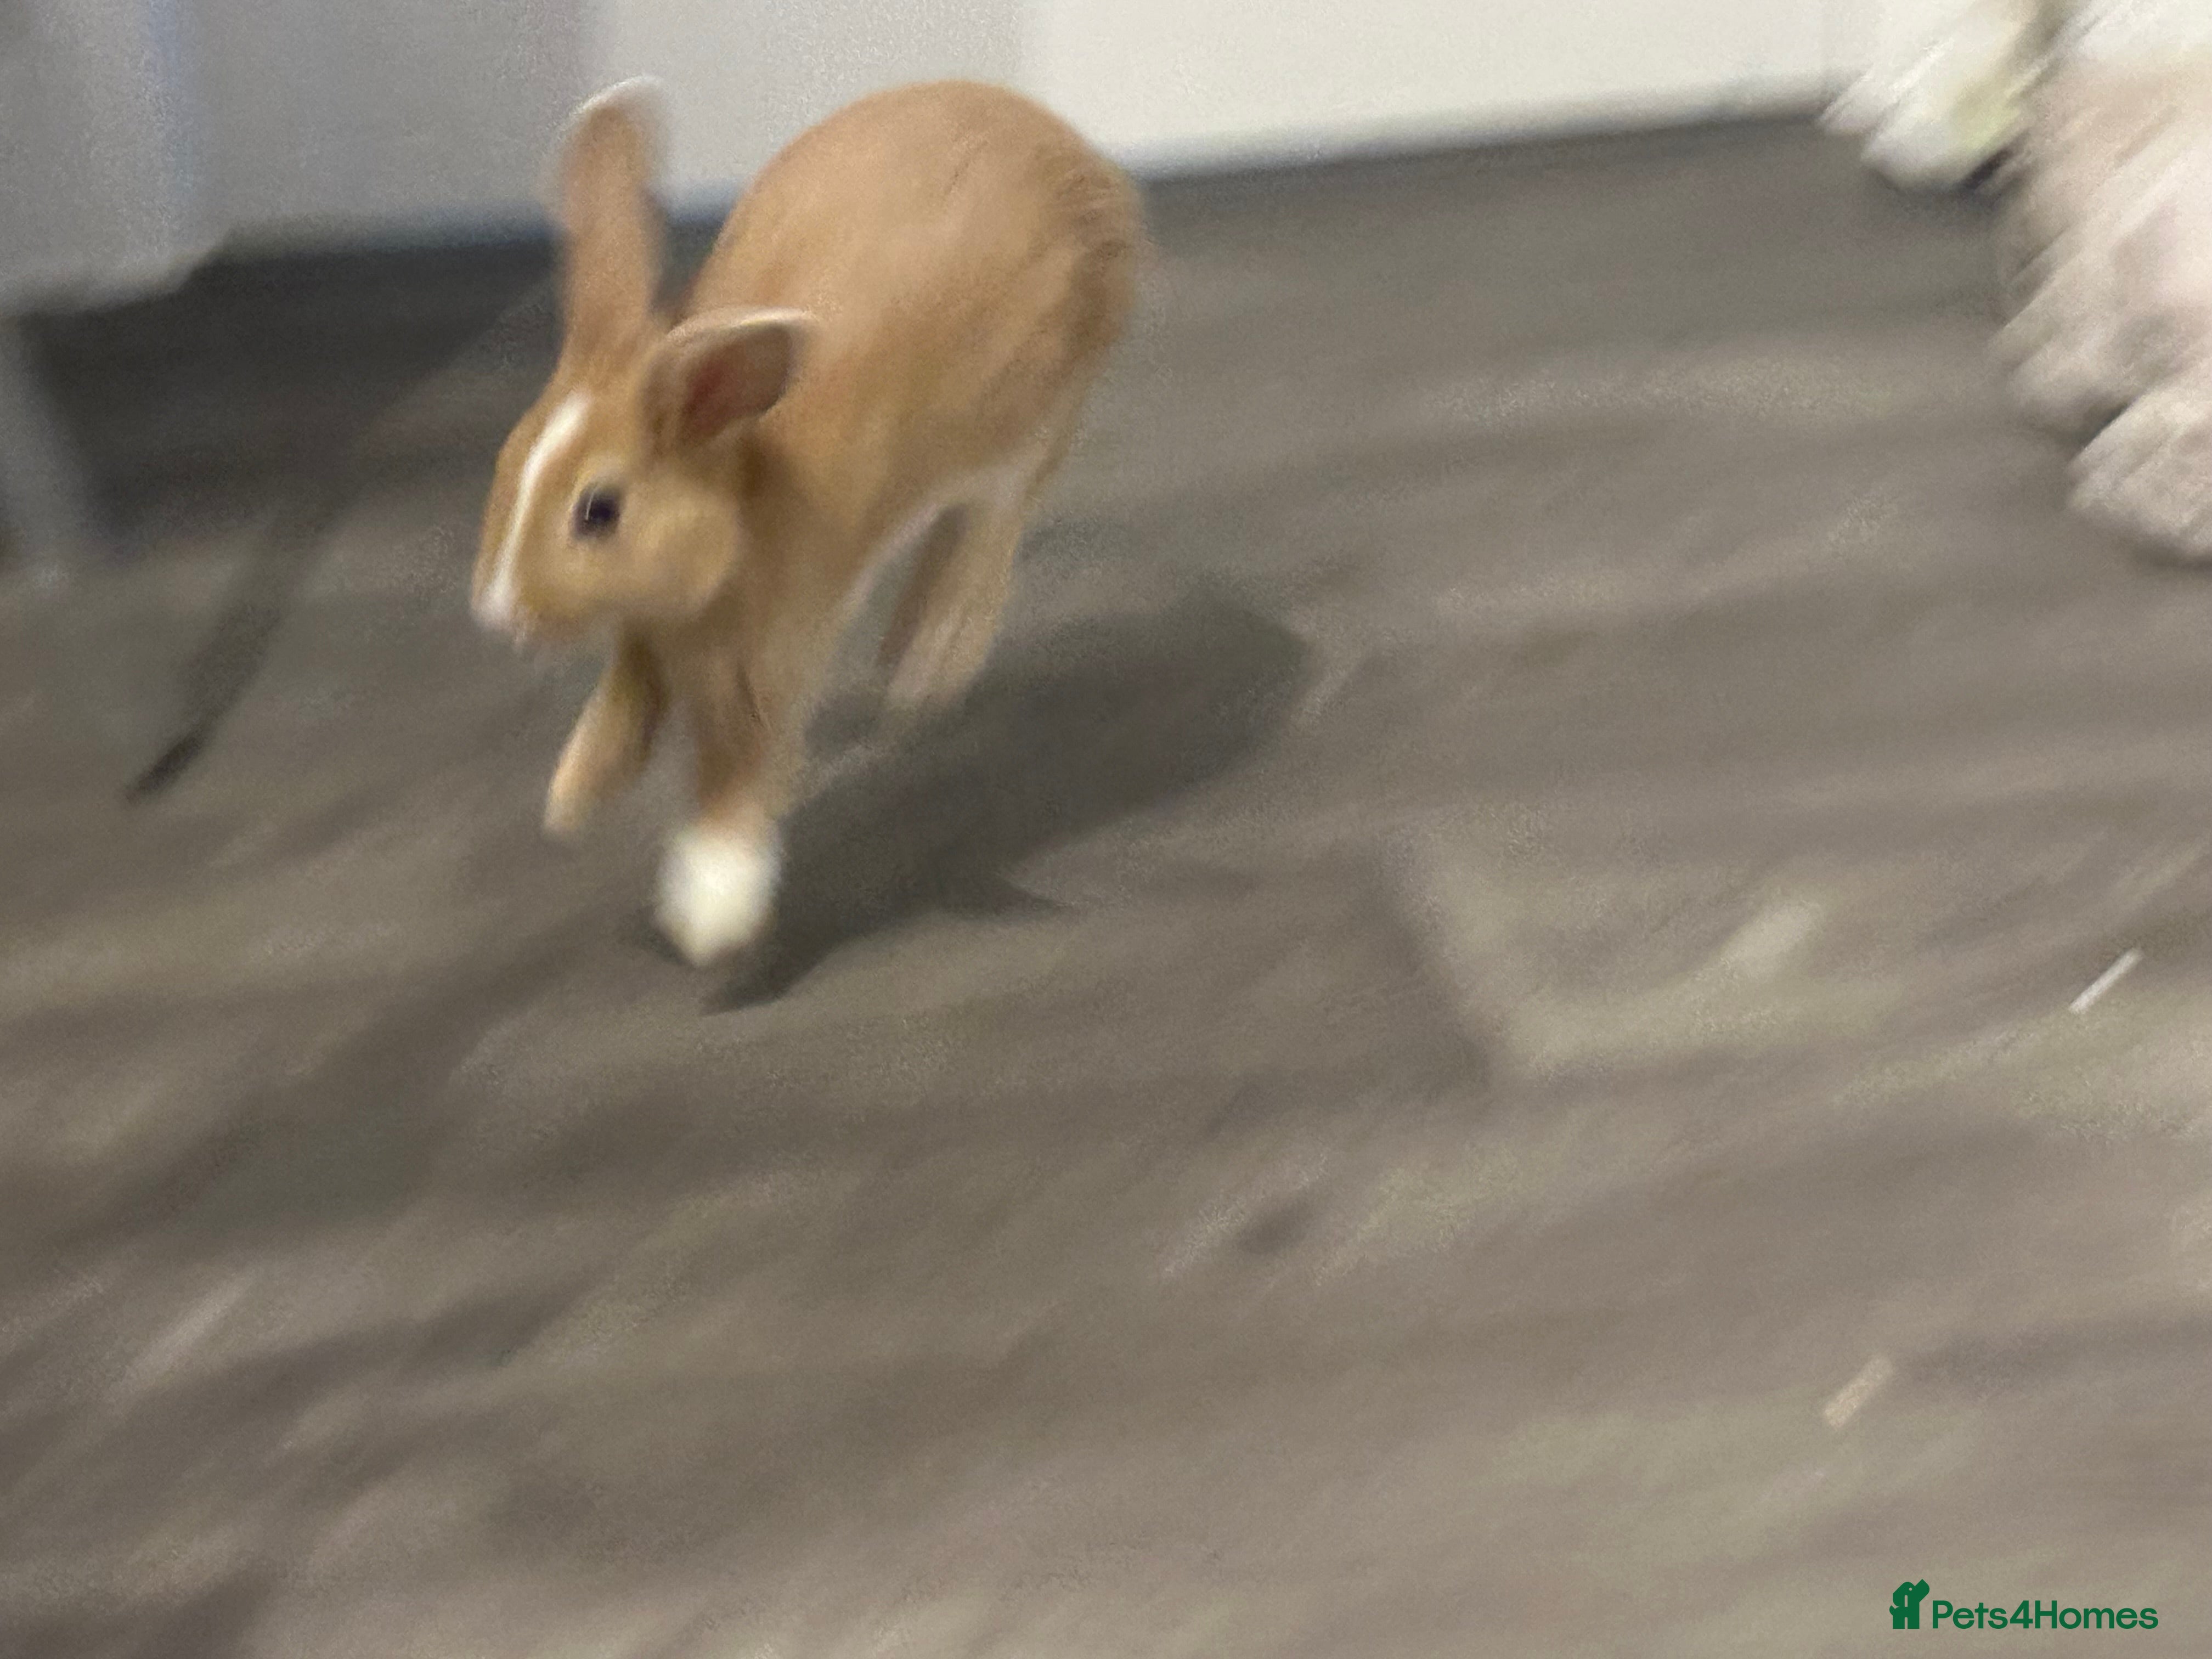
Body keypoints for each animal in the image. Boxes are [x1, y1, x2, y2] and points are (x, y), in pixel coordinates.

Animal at [471, 78, 1145, 968]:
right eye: (508, 463)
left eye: (599, 510)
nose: (497, 612)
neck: (740, 502)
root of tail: (1089, 168)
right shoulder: (652, 641)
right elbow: (625, 703)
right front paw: (576, 797)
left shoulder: (771, 663)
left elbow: (736, 775)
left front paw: (713, 913)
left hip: (1035, 434)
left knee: (986, 540)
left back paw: (925, 672)